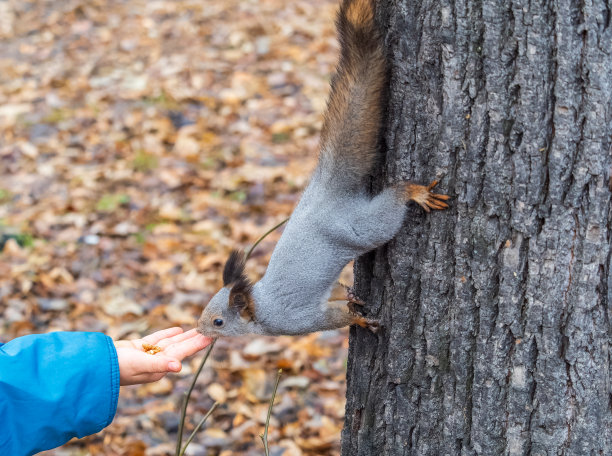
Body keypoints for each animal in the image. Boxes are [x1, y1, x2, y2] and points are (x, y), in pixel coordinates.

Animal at [197, 0, 450, 336]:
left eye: (219, 321)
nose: (197, 329)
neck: (261, 308)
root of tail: (327, 188)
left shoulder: (294, 319)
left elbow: (332, 318)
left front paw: (358, 319)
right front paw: (354, 301)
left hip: (362, 227)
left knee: (390, 207)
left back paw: (413, 192)